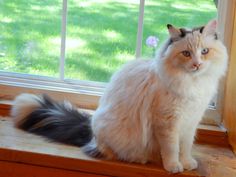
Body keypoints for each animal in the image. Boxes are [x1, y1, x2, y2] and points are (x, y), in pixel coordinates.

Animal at [11, 19, 229, 173]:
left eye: (205, 51)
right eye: (186, 54)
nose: (197, 64)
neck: (193, 84)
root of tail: (91, 134)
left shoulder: (190, 121)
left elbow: (185, 147)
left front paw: (187, 163)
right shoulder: (168, 122)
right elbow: (172, 148)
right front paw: (174, 166)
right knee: (107, 152)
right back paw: (138, 158)